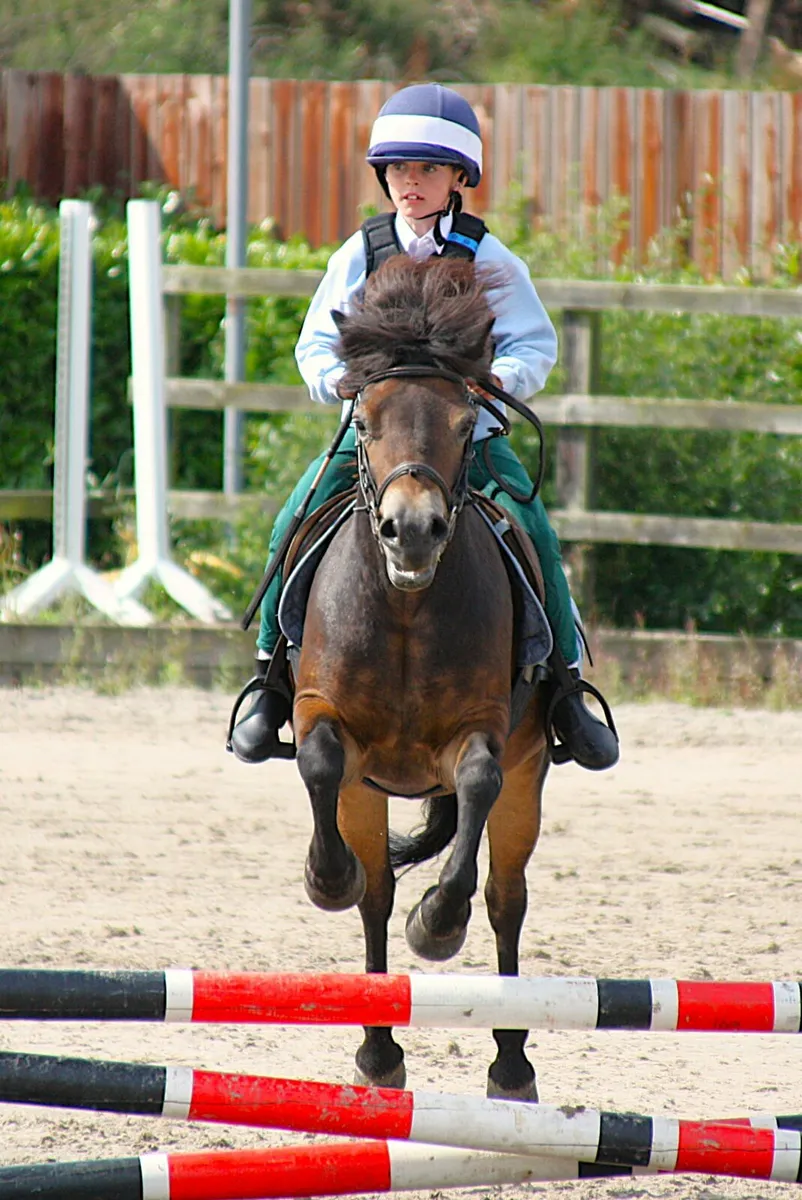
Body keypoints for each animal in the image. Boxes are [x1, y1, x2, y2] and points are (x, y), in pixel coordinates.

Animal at [290, 254, 550, 1101]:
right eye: (366, 420)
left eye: (467, 423)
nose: (412, 531)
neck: (406, 606)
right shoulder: (323, 715)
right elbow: (320, 761)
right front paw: (326, 877)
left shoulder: (486, 734)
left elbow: (474, 783)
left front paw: (438, 922)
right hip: (368, 793)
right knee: (375, 894)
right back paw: (378, 1053)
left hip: (530, 780)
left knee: (506, 902)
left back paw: (511, 1063)